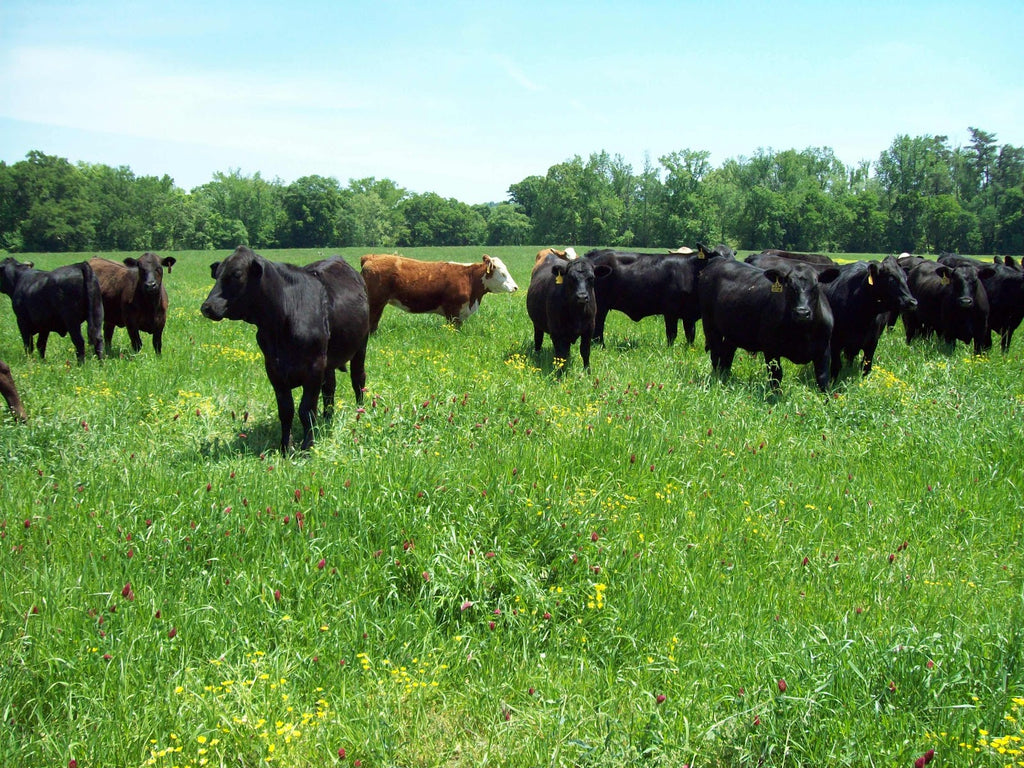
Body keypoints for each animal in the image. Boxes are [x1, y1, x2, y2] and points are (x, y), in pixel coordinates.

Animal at [201, 246, 369, 453]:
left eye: (237, 274)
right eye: (216, 274)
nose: (207, 307)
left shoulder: (314, 367)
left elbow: (306, 410)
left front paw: (307, 446)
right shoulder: (274, 369)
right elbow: (286, 410)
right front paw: (285, 447)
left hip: (361, 345)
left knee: (358, 379)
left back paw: (359, 412)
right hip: (328, 358)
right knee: (330, 387)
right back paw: (327, 418)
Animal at [584, 242, 734, 346]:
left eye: (733, 255)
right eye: (716, 256)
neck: (691, 272)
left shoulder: (689, 315)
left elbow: (690, 335)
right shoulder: (670, 311)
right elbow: (671, 334)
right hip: (600, 306)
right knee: (598, 328)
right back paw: (601, 346)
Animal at [698, 258, 840, 391]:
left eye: (816, 286)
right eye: (789, 286)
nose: (801, 313)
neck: (802, 332)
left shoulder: (824, 350)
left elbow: (823, 379)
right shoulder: (771, 348)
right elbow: (776, 377)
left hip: (732, 332)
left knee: (726, 355)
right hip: (710, 326)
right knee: (716, 355)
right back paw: (717, 379)